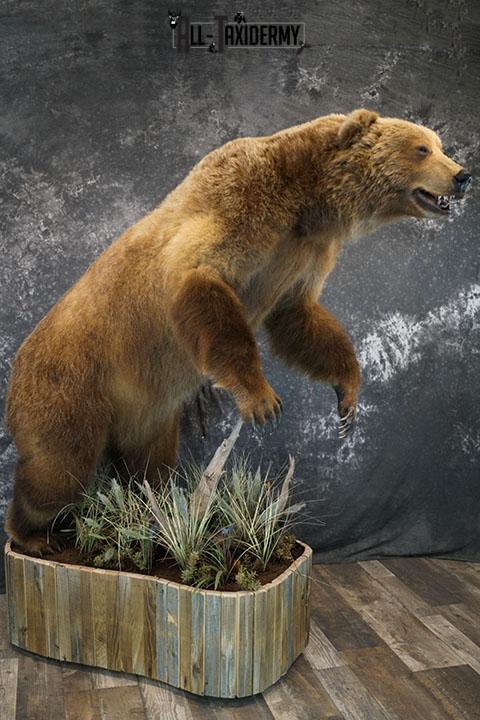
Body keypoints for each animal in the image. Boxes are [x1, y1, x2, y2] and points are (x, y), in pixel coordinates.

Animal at [4, 109, 471, 556]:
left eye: (439, 144)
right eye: (421, 149)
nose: (463, 175)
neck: (308, 203)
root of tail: (17, 368)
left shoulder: (307, 256)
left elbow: (299, 319)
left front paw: (348, 398)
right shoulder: (239, 205)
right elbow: (202, 278)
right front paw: (262, 401)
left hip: (147, 409)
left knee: (150, 464)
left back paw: (151, 510)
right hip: (73, 384)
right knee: (58, 468)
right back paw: (34, 535)